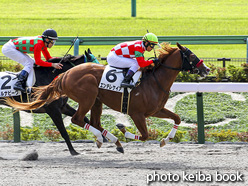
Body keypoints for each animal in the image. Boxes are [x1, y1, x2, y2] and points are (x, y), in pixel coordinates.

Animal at [4, 42, 209, 153]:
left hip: (96, 101)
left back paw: (110, 141)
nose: (206, 69)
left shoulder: (156, 110)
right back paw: (110, 139)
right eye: (191, 55)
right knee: (78, 119)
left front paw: (165, 140)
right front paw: (123, 129)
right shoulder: (136, 113)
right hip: (87, 98)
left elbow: (177, 118)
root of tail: (65, 74)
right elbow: (144, 135)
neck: (155, 80)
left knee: (93, 122)